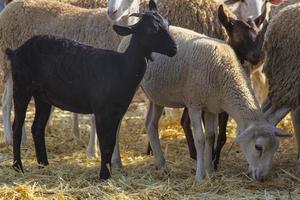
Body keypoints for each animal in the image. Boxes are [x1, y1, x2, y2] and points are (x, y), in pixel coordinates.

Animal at [7, 0, 177, 180]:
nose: (174, 49)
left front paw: (108, 172)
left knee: (37, 127)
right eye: (152, 29)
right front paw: (104, 174)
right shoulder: (101, 110)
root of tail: (16, 51)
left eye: (167, 24)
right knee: (17, 126)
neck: (122, 66)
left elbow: (111, 141)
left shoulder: (118, 110)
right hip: (21, 87)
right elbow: (104, 142)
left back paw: (43, 164)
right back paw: (18, 166)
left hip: (42, 97)